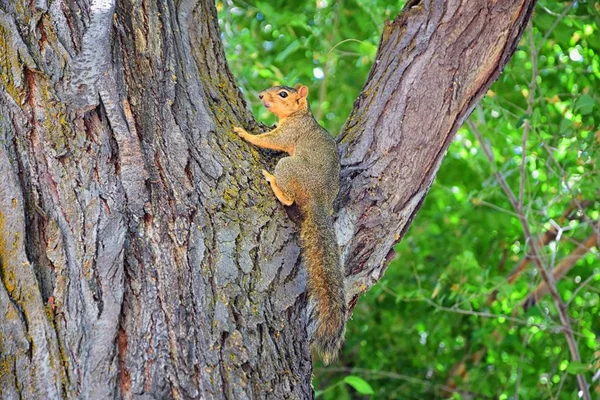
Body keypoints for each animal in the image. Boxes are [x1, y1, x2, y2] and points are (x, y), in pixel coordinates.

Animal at [234, 83, 346, 364]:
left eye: (283, 94)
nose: (261, 96)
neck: (298, 115)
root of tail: (318, 201)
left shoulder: (288, 134)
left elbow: (268, 140)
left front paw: (244, 132)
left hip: (288, 166)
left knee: (288, 197)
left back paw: (274, 183)